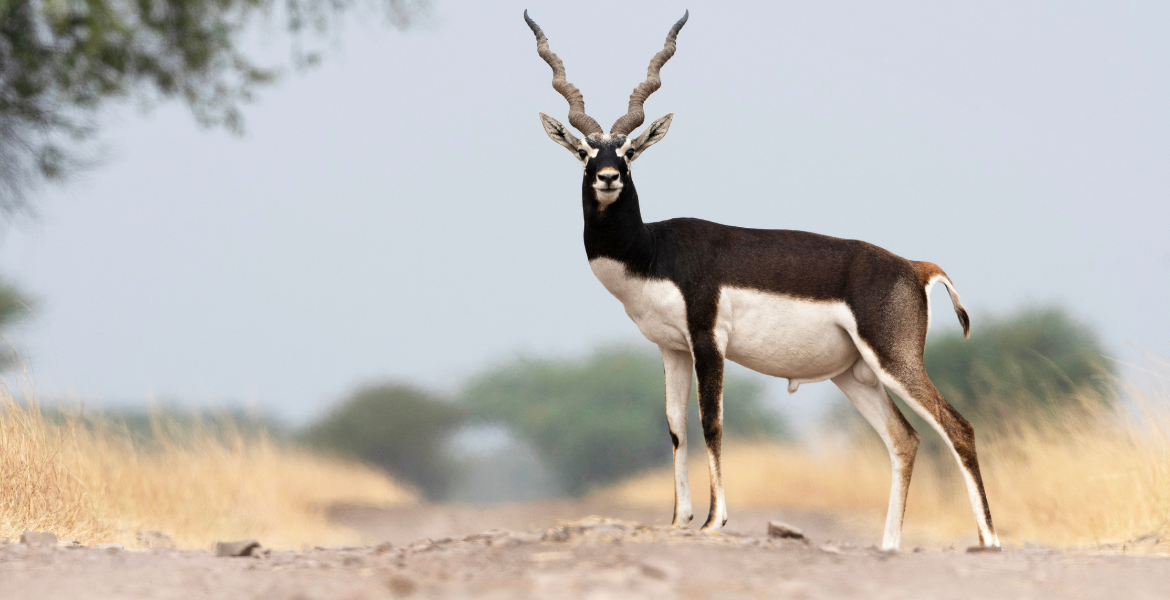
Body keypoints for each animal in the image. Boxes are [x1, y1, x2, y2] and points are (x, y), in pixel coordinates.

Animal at [526, 10, 1001, 552]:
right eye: (585, 151)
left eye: (628, 151)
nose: (608, 177)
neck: (652, 250)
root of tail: (914, 266)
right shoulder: (671, 347)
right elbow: (675, 427)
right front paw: (678, 520)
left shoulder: (708, 339)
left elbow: (711, 423)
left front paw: (714, 522)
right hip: (855, 374)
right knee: (906, 439)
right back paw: (888, 545)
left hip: (895, 360)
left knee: (958, 428)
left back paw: (990, 542)